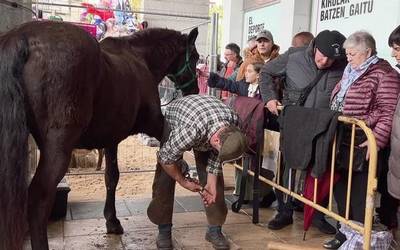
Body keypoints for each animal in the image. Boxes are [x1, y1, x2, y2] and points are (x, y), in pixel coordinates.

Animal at [0, 20, 200, 249]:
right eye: (195, 57)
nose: (194, 90)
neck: (140, 58)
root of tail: (21, 37)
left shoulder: (111, 137)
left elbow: (111, 177)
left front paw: (112, 220)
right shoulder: (154, 123)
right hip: (58, 150)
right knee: (38, 200)